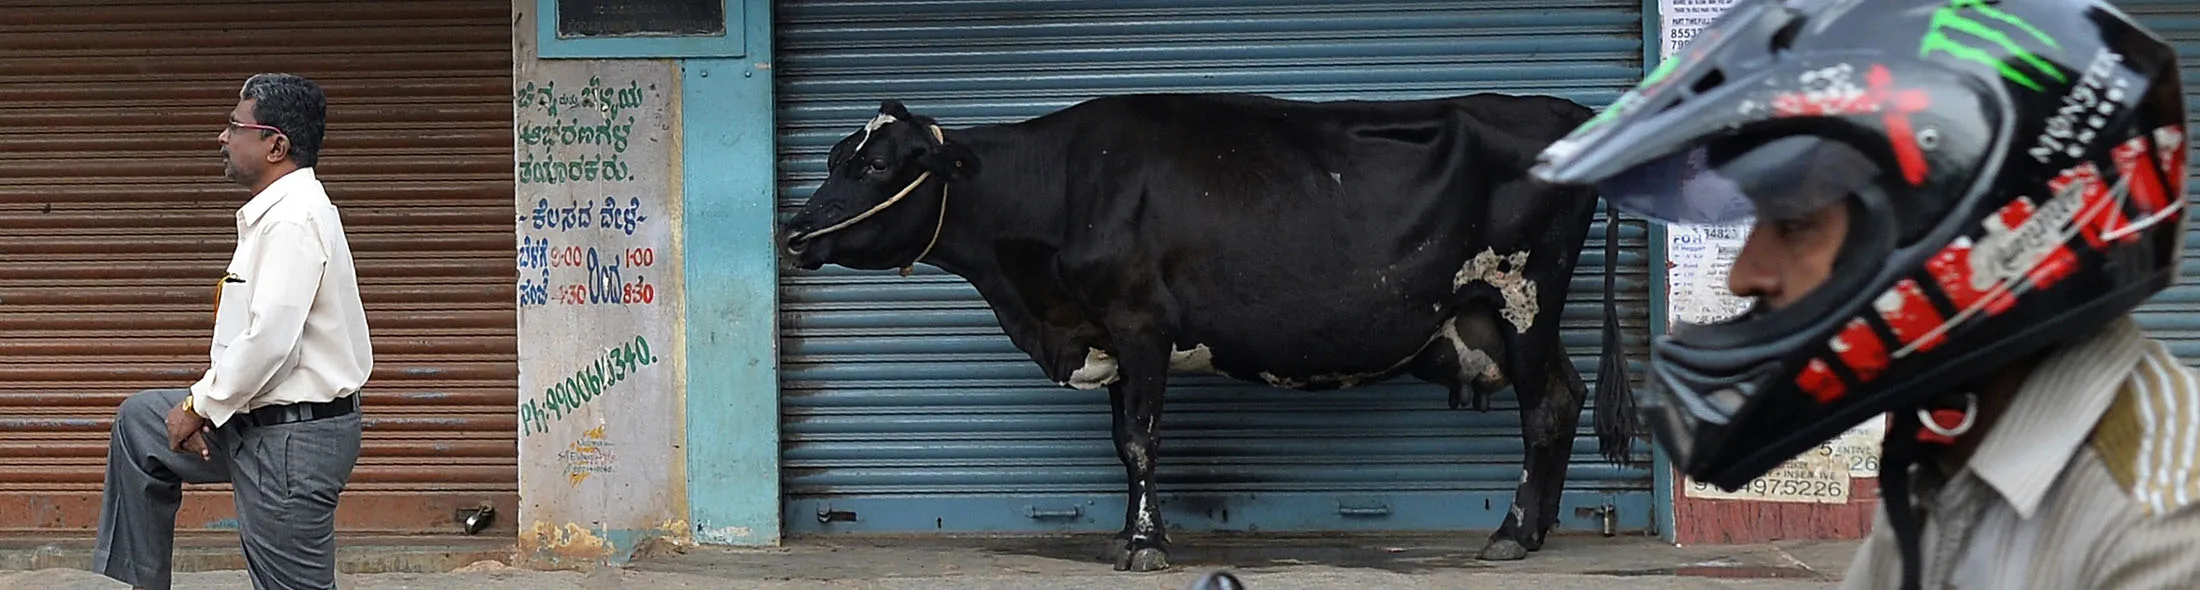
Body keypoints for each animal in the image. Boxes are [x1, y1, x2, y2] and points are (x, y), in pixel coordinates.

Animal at [780, 92, 1638, 572]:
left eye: (879, 165)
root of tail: (1563, 109)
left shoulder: (1141, 323)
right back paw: (1535, 532)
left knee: (1544, 410)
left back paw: (1510, 532)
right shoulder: (1110, 332)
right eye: (834, 156)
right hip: (1501, 314)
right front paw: (1127, 535)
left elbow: (1140, 442)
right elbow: (1121, 445)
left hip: (1525, 295)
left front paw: (1146, 546)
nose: (794, 231)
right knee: (1564, 395)